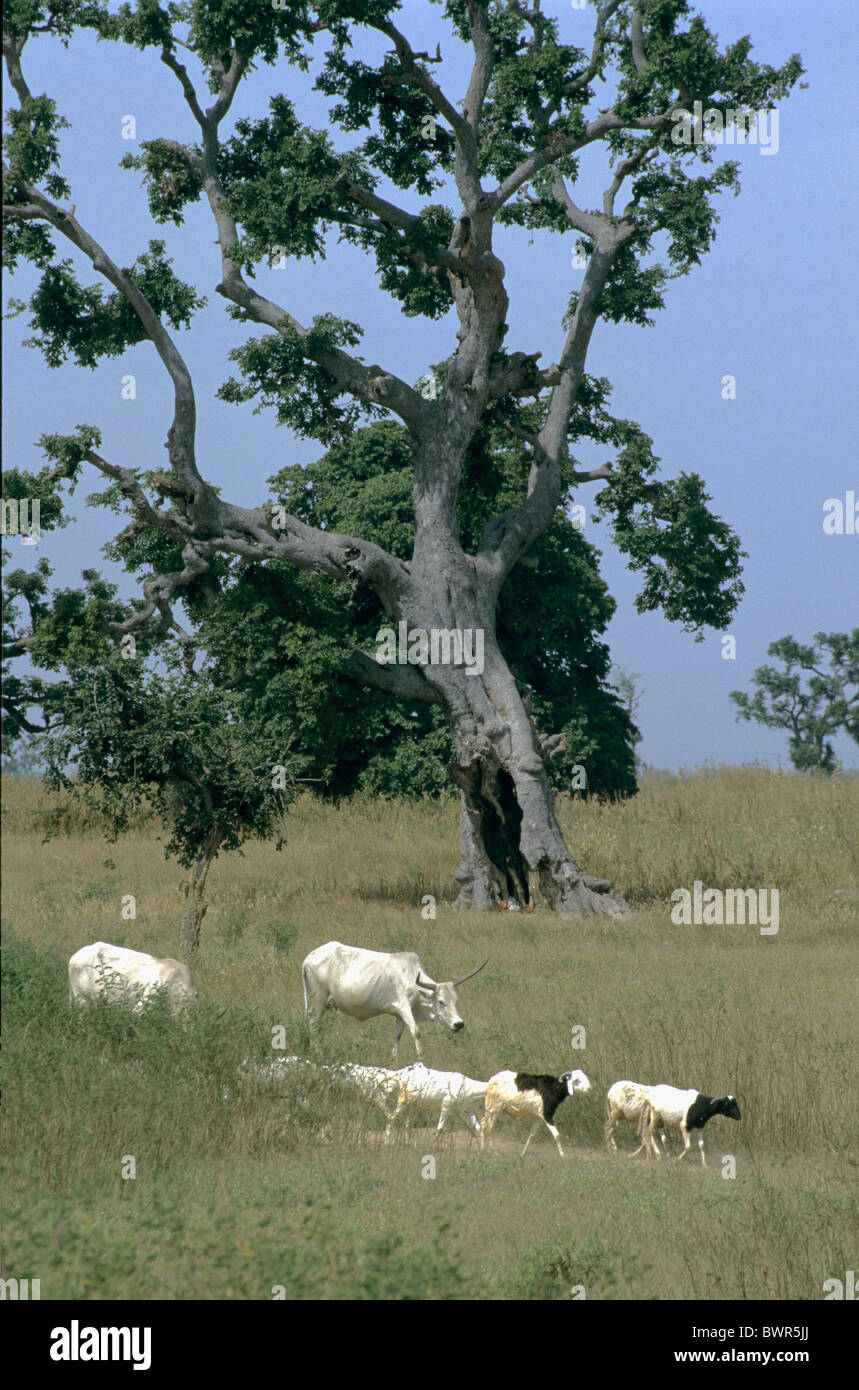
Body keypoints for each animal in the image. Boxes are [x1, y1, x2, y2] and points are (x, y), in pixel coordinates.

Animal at [298, 939, 483, 1056]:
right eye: (441, 1001)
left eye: (456, 1001)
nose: (459, 1024)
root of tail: (308, 957)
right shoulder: (404, 1007)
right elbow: (416, 1032)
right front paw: (420, 1059)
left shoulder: (399, 1015)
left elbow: (397, 1036)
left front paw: (394, 1059)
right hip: (319, 999)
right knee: (313, 1023)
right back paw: (318, 1052)